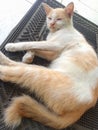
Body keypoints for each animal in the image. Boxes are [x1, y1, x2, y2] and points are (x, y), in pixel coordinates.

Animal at [0, 1, 98, 129]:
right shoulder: (53, 53)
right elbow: (35, 48)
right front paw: (29, 56)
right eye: (49, 18)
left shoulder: (54, 45)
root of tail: (87, 106)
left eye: (59, 19)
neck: (55, 33)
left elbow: (30, 43)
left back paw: (2, 58)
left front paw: (13, 46)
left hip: (41, 73)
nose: (51, 24)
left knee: (12, 69)